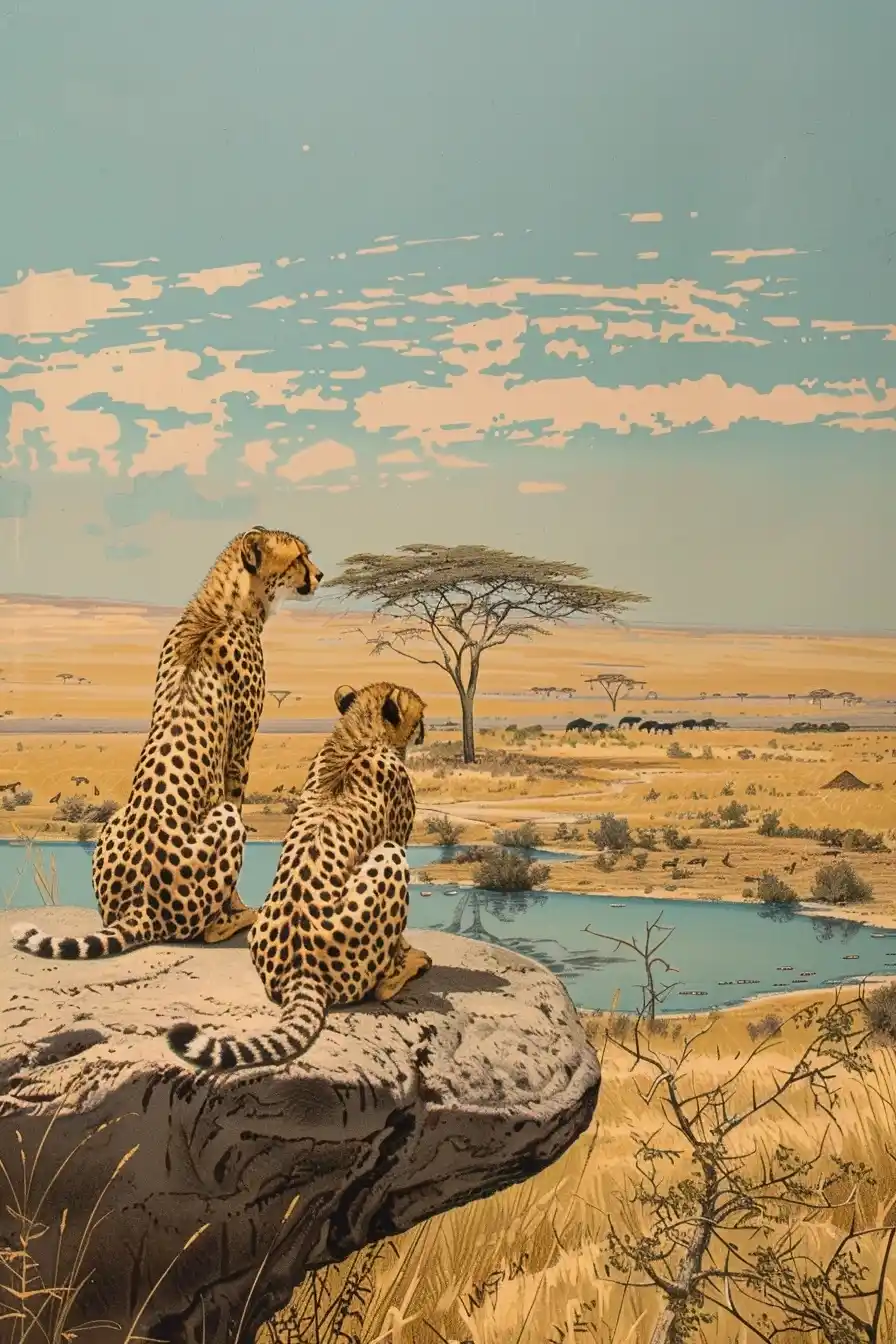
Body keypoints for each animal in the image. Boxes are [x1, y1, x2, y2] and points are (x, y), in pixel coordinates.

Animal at [11, 526, 322, 961]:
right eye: (298, 557)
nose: (320, 575)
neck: (222, 608)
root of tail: (140, 906)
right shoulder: (238, 755)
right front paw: (238, 906)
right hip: (223, 820)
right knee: (206, 927)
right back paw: (238, 919)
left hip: (111, 823)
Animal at [167, 680, 432, 1070]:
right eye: (420, 713)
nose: (426, 729)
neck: (359, 737)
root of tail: (300, 972)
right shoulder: (397, 834)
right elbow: (399, 939)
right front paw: (407, 955)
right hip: (389, 856)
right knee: (378, 986)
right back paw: (402, 973)